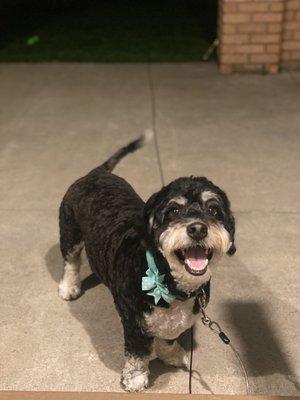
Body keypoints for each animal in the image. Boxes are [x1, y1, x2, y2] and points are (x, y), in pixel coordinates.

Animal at [58, 134, 236, 390]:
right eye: (173, 211)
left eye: (213, 210)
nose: (198, 229)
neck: (167, 280)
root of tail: (96, 172)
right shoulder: (134, 323)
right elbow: (138, 353)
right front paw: (135, 378)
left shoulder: (172, 323)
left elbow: (168, 339)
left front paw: (171, 355)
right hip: (70, 233)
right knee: (70, 262)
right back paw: (69, 286)